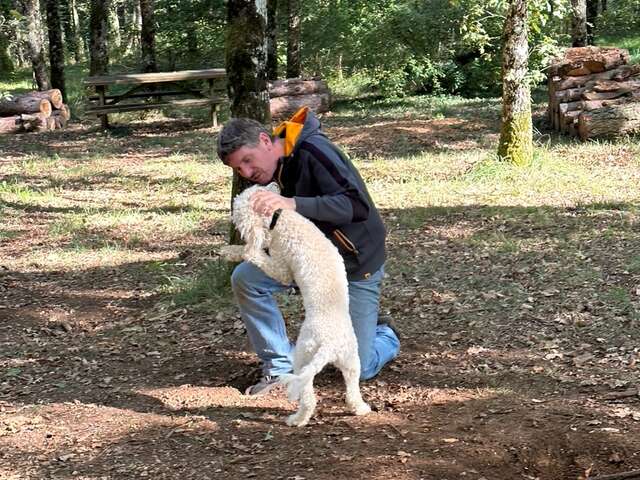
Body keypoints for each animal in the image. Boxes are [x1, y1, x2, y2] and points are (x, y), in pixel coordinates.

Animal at [224, 184, 370, 428]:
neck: (281, 217)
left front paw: (231, 251)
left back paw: (297, 419)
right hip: (351, 362)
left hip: (303, 357)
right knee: (352, 392)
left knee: (309, 398)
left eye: (238, 212)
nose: (276, 184)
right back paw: (360, 409)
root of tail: (329, 344)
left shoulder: (281, 266)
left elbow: (253, 253)